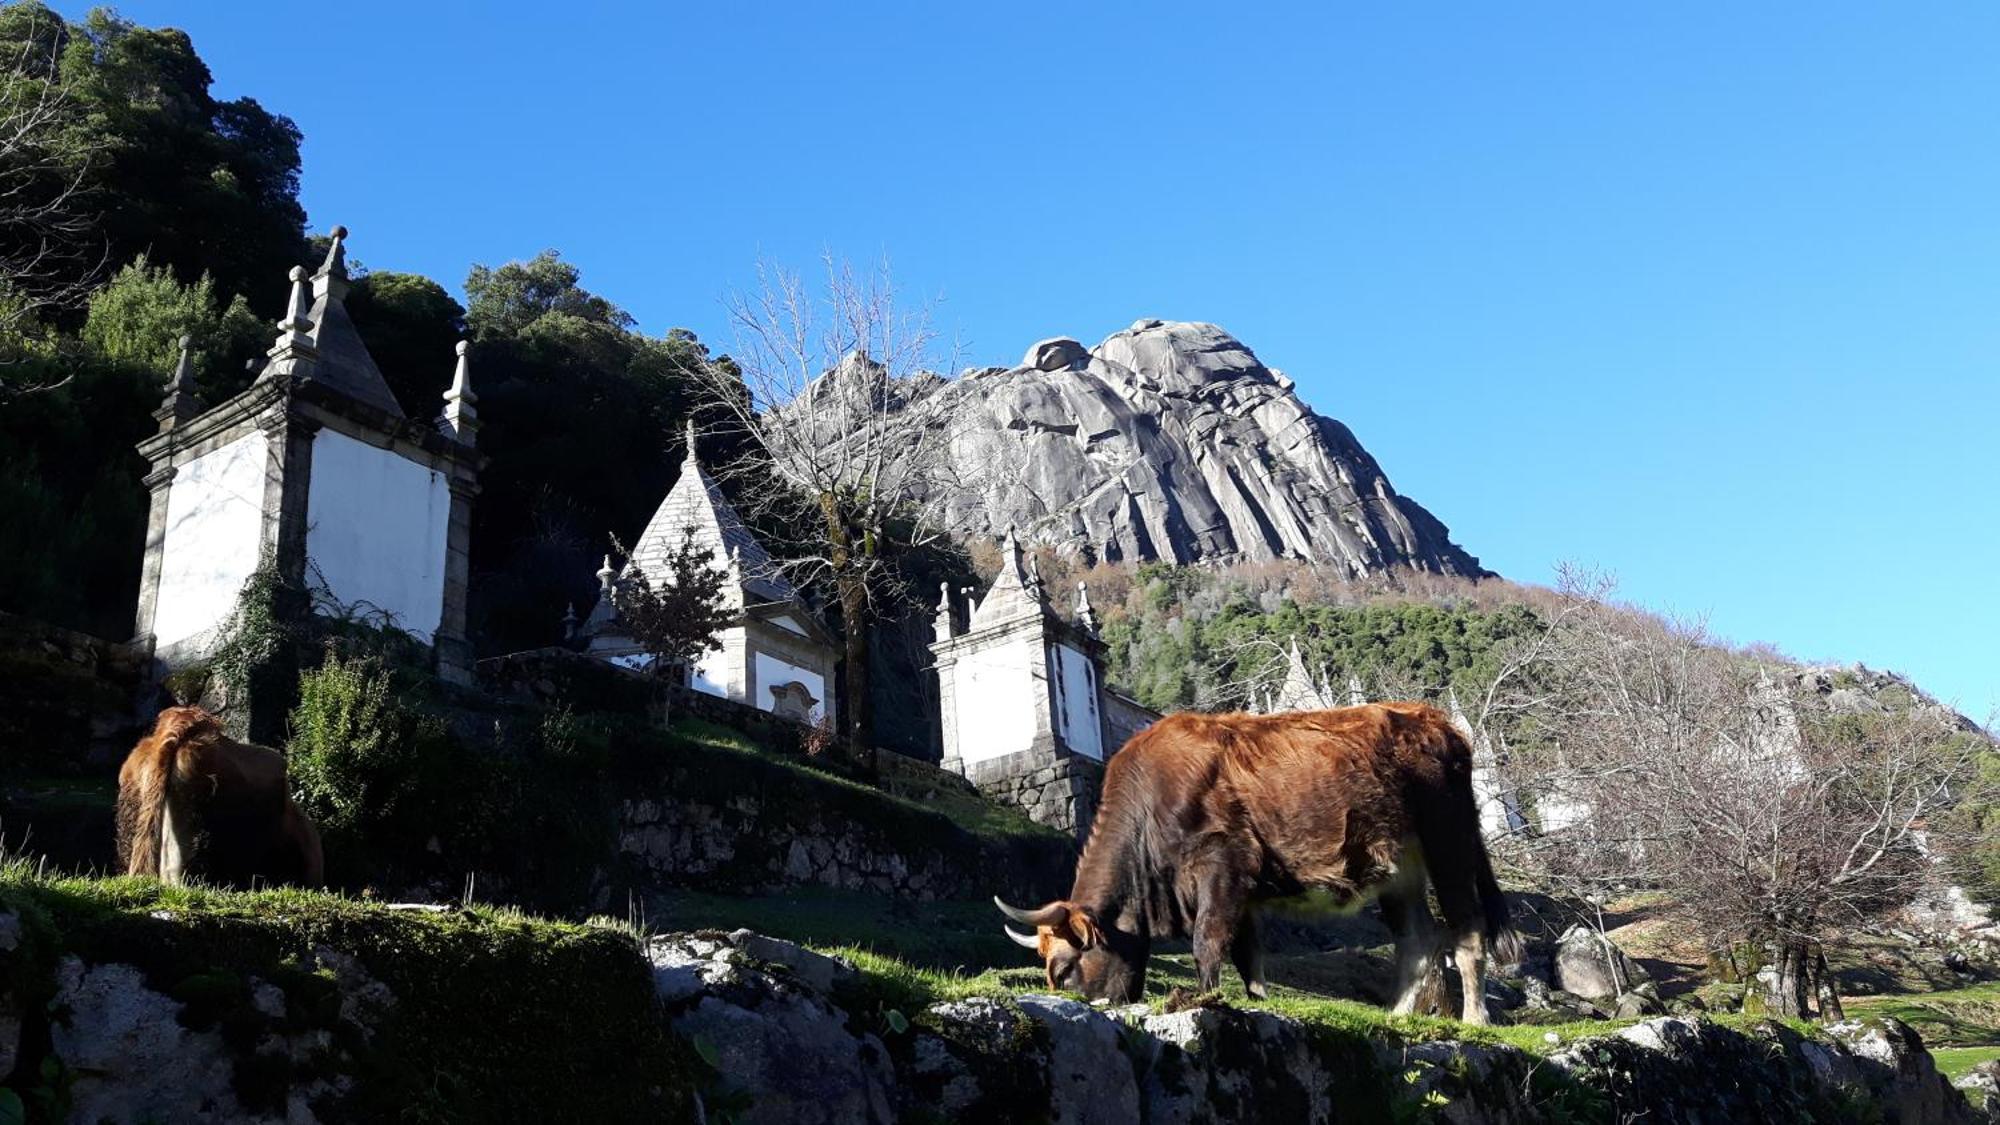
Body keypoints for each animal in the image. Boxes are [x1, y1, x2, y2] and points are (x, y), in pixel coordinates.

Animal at [992, 696, 1520, 1020]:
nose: (1084, 1004)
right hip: (1398, 868)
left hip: (1449, 842)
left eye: (1064, 969)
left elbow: (1208, 941)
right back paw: (1398, 1015)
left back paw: (1475, 1018)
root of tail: (1435, 720)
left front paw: (1202, 996)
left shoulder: (1222, 866)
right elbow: (1249, 956)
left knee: (1467, 932)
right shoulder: (1241, 891)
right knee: (1417, 941)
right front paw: (1256, 1001)